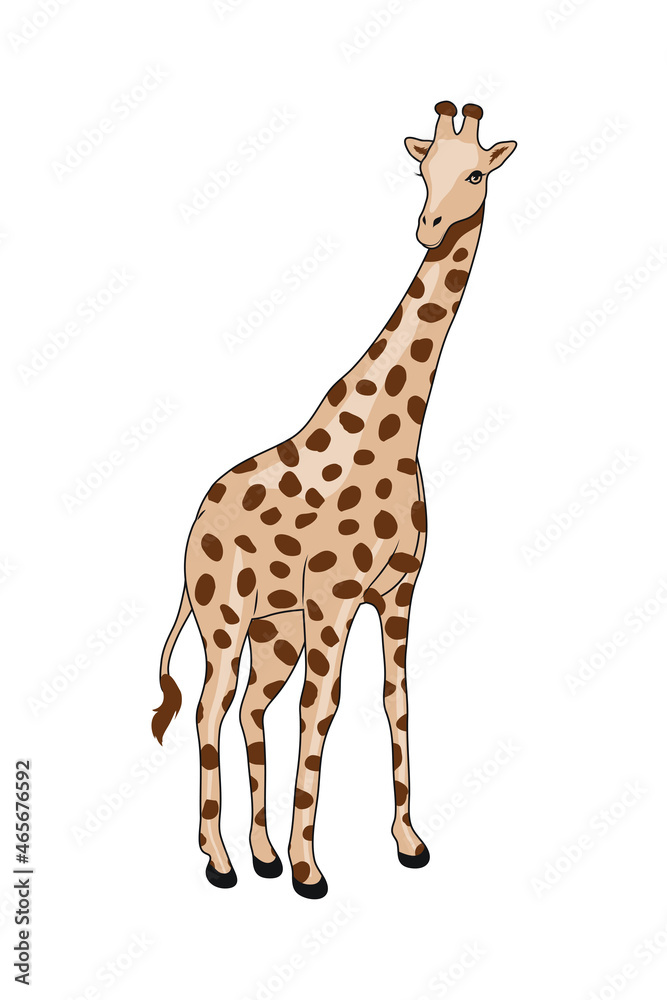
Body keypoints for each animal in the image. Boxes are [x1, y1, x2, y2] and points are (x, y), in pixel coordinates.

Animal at [153, 101, 516, 899]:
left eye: (474, 174)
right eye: (422, 169)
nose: (429, 228)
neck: (397, 426)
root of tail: (192, 528)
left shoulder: (397, 590)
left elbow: (393, 699)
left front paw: (407, 842)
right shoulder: (334, 596)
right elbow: (323, 711)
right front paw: (309, 868)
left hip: (274, 630)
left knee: (251, 709)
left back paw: (257, 852)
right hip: (225, 617)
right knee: (209, 709)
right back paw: (219, 859)